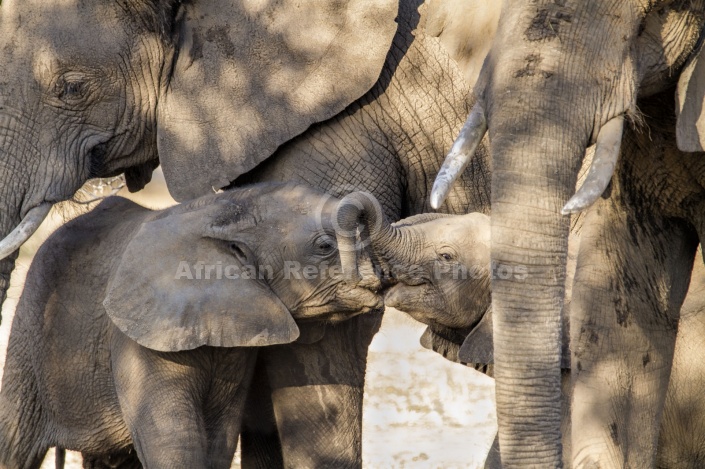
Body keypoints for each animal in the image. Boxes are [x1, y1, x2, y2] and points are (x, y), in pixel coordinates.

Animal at [0, 183, 380, 468]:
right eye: (325, 246)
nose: (376, 281)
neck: (224, 214)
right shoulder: (141, 336)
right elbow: (174, 441)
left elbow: (217, 439)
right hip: (29, 328)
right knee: (15, 441)